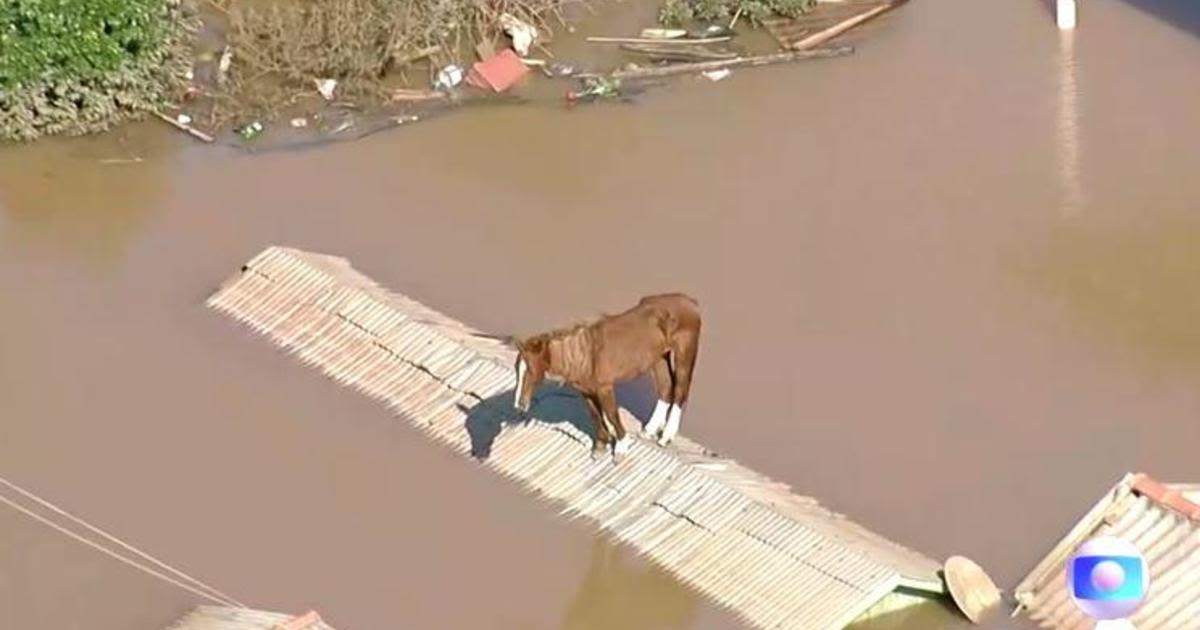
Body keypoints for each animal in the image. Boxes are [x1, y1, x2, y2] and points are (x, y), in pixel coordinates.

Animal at [511, 292, 700, 458]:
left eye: (530, 370)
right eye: (517, 370)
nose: (519, 406)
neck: (584, 354)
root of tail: (690, 302)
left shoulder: (605, 388)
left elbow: (611, 414)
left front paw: (622, 447)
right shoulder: (586, 392)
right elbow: (596, 416)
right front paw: (601, 446)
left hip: (684, 352)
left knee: (680, 391)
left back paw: (666, 437)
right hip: (659, 358)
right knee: (666, 388)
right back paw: (650, 430)